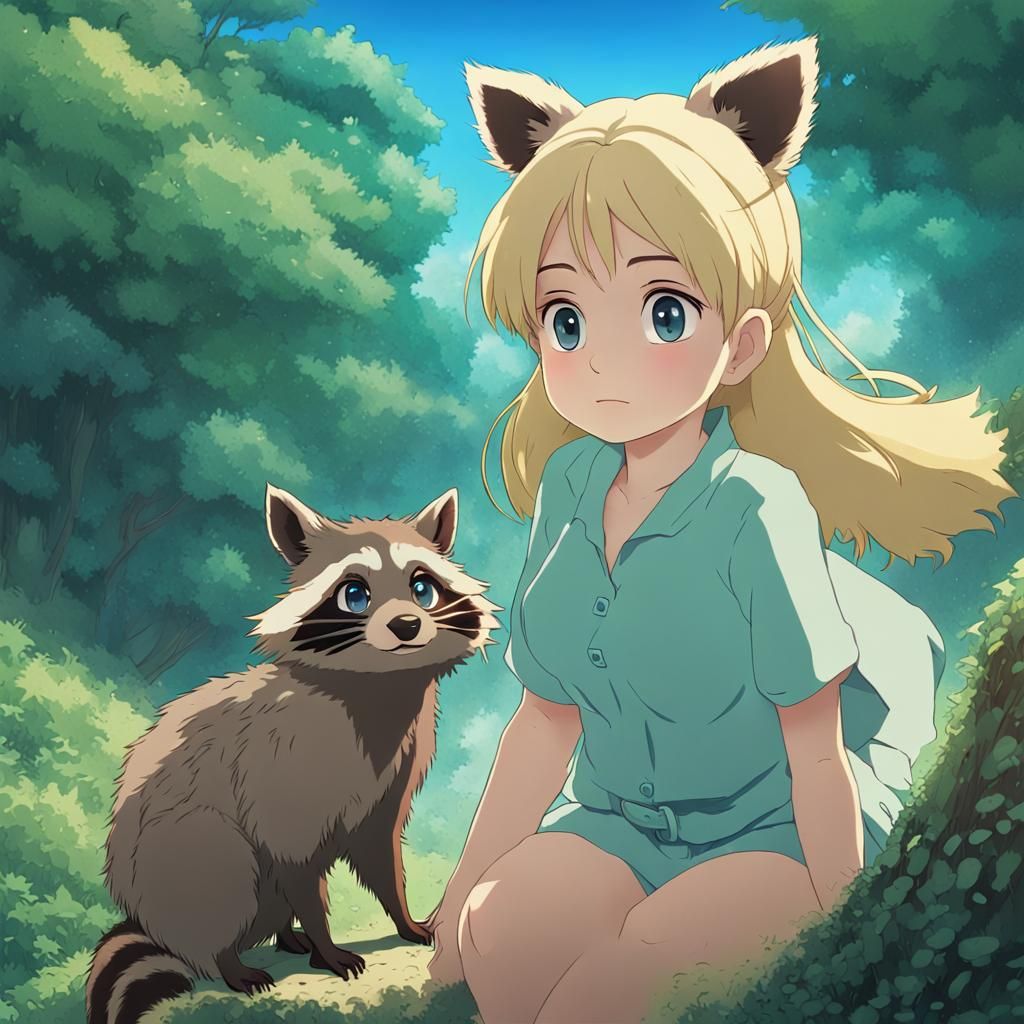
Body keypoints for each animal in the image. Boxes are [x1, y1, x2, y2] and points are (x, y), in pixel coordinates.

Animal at [85, 484, 500, 1024]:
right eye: (354, 594)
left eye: (422, 588)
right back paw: (231, 960)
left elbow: (380, 848)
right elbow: (295, 858)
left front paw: (403, 917)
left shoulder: (398, 764)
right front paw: (328, 944)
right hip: (181, 856)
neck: (380, 687)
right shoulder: (282, 763)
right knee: (226, 868)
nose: (408, 625)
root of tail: (156, 926)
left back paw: (286, 936)